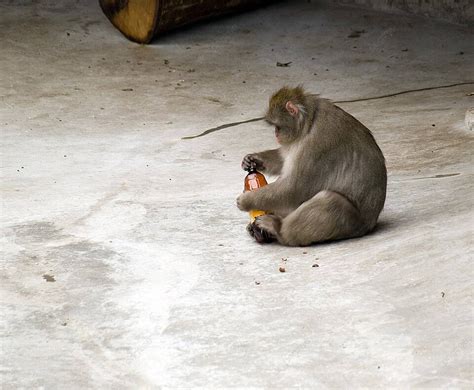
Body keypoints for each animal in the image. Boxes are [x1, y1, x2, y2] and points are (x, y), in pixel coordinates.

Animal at [235, 86, 386, 247]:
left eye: (277, 126)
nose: (276, 134)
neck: (309, 122)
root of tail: (369, 225)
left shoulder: (317, 145)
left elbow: (293, 188)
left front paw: (247, 199)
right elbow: (284, 159)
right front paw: (253, 160)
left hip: (351, 225)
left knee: (330, 200)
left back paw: (278, 229)